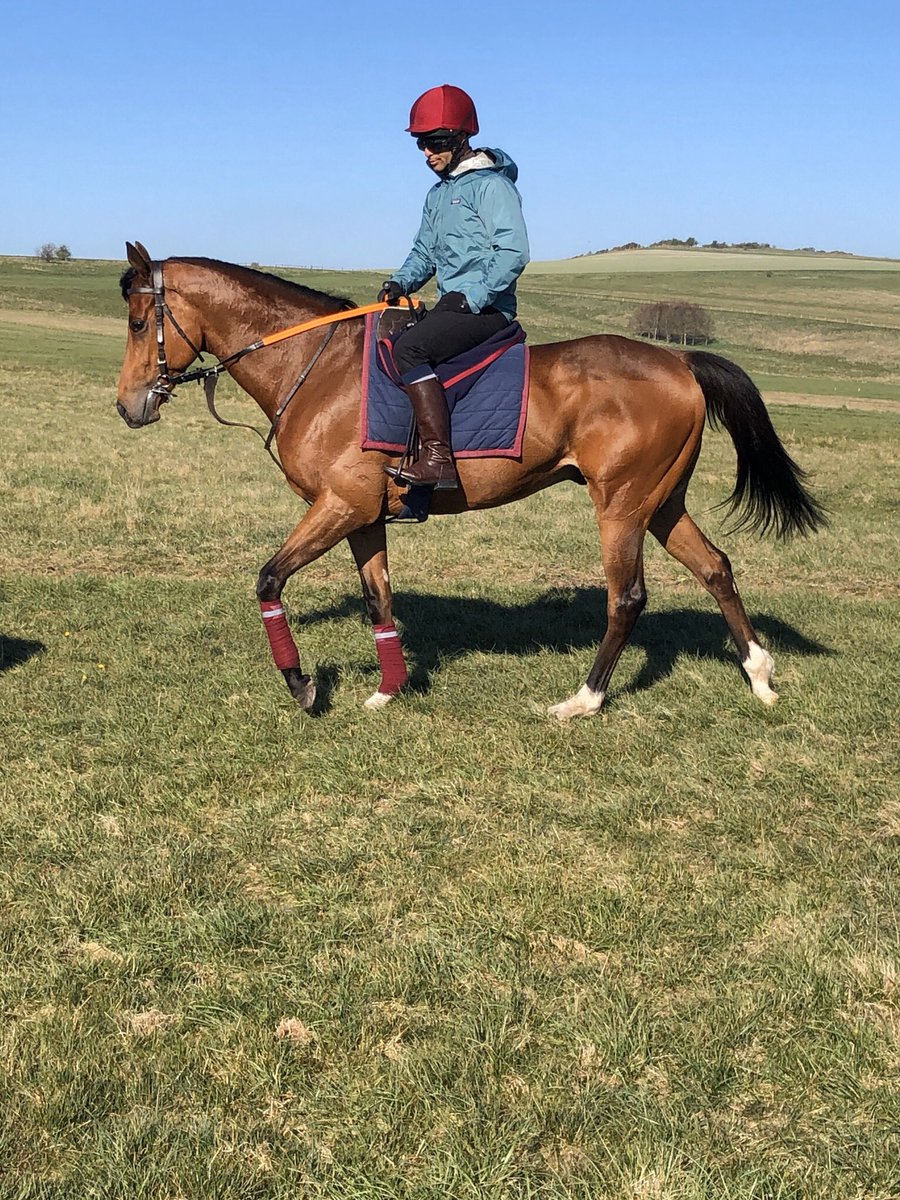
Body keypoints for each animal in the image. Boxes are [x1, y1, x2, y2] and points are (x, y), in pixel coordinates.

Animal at [116, 241, 825, 719]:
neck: (315, 368)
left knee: (627, 598)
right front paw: (388, 690)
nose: (128, 407)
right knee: (716, 567)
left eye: (136, 322)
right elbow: (379, 600)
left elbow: (269, 579)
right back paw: (760, 676)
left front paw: (304, 686)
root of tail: (679, 362)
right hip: (661, 503)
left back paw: (584, 700)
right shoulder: (363, 516)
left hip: (621, 506)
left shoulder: (338, 506)